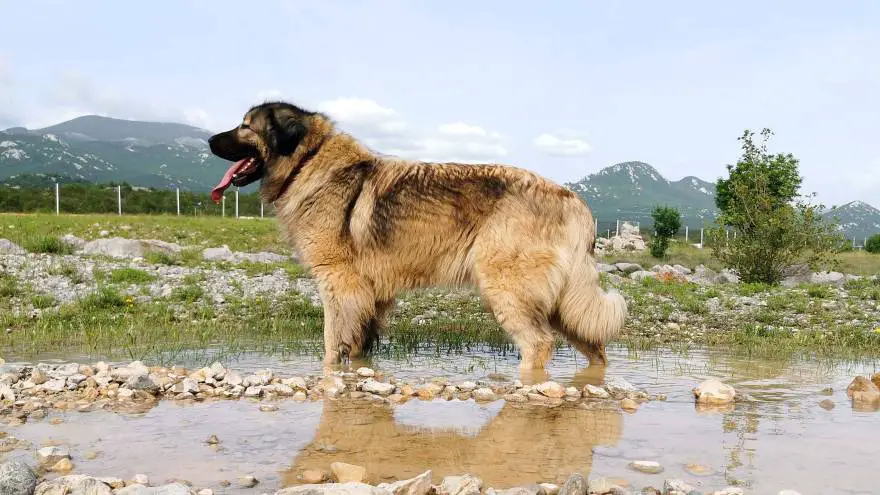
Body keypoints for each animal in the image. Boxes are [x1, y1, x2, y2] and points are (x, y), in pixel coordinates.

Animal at [210, 101, 628, 370]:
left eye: (246, 126)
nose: (210, 141)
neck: (308, 160)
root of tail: (573, 201)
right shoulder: (371, 297)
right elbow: (359, 346)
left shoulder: (338, 284)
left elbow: (331, 346)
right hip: (560, 304)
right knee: (595, 348)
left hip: (507, 289)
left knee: (538, 345)